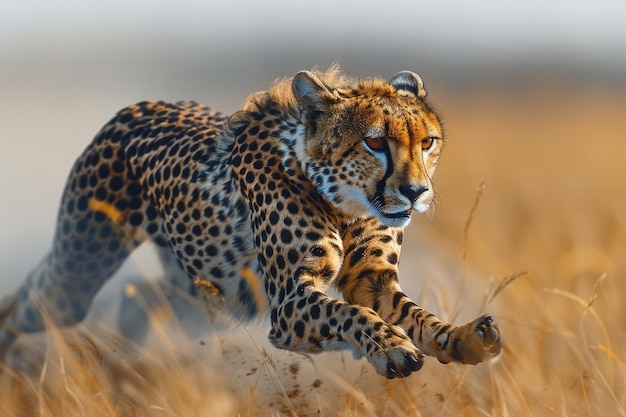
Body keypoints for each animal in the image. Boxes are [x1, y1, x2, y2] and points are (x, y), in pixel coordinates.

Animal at [0, 67, 498, 376]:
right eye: (375, 142)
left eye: (427, 142)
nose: (416, 192)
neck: (344, 203)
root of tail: (139, 104)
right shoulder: (288, 301)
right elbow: (349, 312)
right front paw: (390, 347)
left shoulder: (370, 279)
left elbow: (411, 312)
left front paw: (459, 338)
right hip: (78, 275)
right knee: (30, 301)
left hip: (211, 289)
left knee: (138, 296)